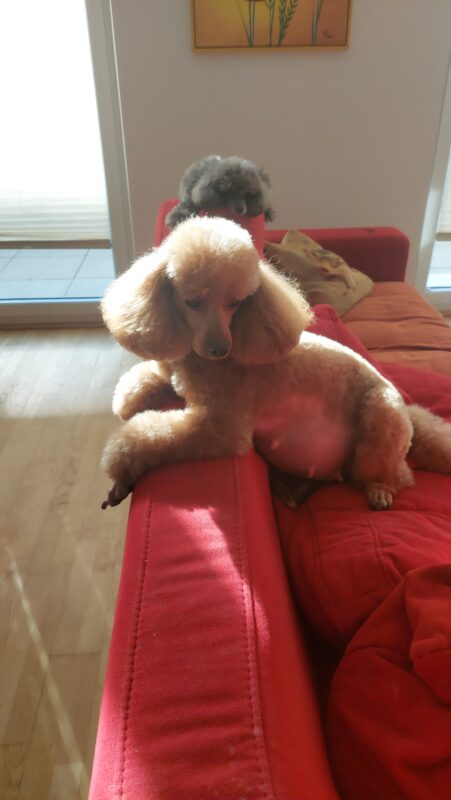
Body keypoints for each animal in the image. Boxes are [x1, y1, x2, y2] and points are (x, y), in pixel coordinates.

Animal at [100, 216, 451, 510]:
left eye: (235, 303)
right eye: (192, 302)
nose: (220, 349)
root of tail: (407, 408)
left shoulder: (220, 429)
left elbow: (149, 436)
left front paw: (120, 469)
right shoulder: (172, 370)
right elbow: (145, 377)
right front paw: (128, 400)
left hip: (381, 416)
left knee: (397, 475)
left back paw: (379, 490)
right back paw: (293, 492)